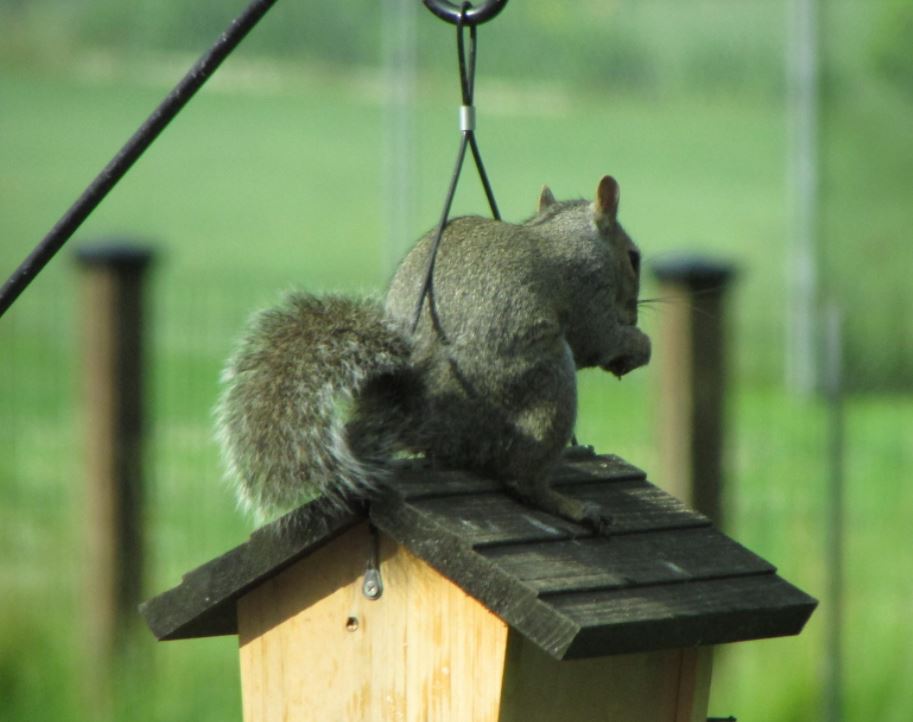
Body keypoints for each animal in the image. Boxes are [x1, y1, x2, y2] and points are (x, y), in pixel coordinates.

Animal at [215, 175, 650, 531]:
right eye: (634, 258)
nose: (633, 312)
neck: (567, 235)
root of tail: (414, 418)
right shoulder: (587, 290)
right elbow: (597, 339)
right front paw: (638, 345)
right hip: (546, 382)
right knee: (519, 477)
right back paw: (571, 506)